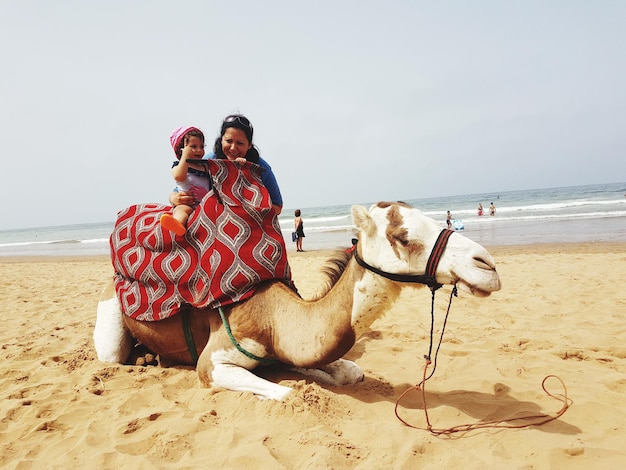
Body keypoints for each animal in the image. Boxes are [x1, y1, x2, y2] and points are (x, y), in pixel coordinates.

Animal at [94, 202, 502, 400]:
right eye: (403, 236)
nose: (487, 265)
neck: (274, 316)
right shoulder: (210, 363)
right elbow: (288, 393)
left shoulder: (287, 348)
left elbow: (348, 372)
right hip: (109, 315)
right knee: (112, 356)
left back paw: (150, 357)